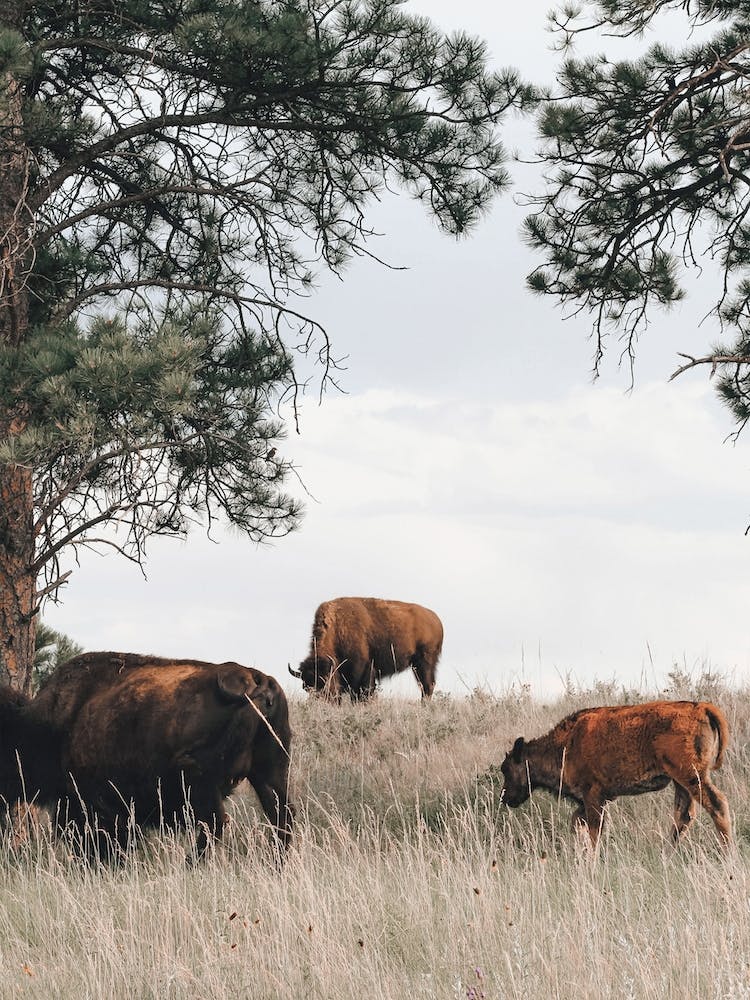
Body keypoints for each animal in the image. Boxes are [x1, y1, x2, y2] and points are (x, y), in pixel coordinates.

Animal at [0, 652, 294, 860]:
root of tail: (257, 681)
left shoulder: (87, 803)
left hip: (199, 780)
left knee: (215, 824)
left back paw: (190, 865)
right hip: (270, 774)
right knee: (282, 817)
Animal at [289, 597, 443, 701]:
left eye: (324, 683)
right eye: (305, 687)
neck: (338, 628)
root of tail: (435, 619)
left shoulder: (364, 671)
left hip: (424, 663)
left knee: (427, 686)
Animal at [500, 700, 731, 847]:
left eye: (506, 769)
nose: (505, 798)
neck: (566, 744)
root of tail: (700, 707)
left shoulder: (593, 795)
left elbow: (594, 829)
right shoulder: (594, 800)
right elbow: (577, 822)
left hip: (692, 777)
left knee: (716, 805)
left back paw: (727, 854)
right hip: (680, 781)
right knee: (683, 815)